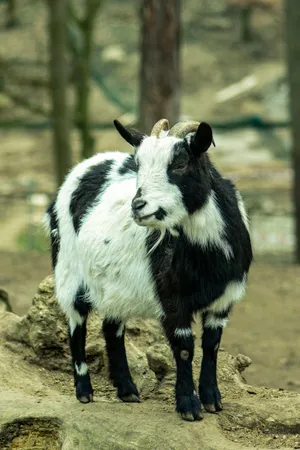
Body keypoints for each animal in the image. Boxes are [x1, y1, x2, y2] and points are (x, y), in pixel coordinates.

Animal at [44, 118, 251, 422]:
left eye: (180, 163)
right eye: (139, 164)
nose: (138, 206)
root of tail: (84, 167)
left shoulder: (224, 299)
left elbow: (212, 345)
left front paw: (212, 400)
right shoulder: (172, 298)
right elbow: (185, 349)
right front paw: (189, 406)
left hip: (115, 286)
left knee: (111, 328)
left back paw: (127, 390)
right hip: (68, 269)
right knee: (76, 324)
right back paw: (84, 391)